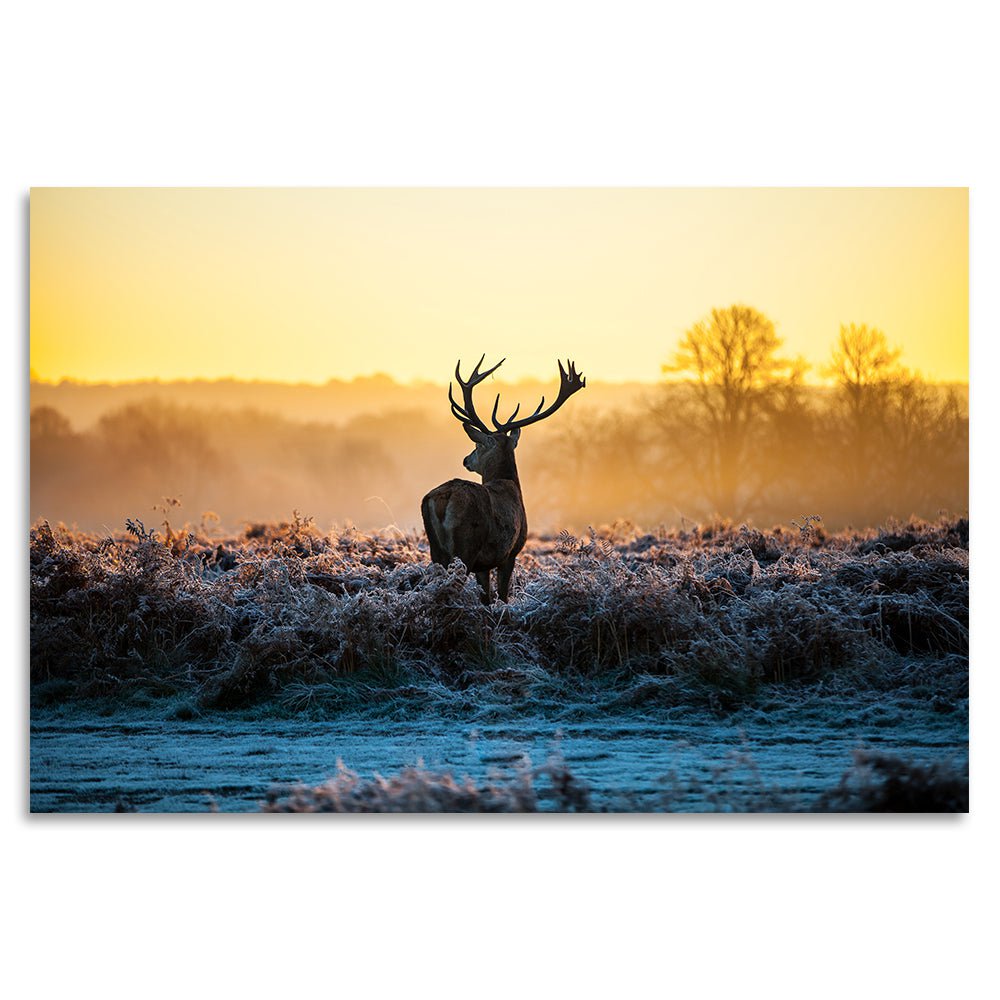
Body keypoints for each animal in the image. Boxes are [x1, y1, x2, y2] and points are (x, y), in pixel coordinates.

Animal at [421, 356, 586, 603]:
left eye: (477, 445)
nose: (466, 459)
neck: (510, 484)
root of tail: (443, 497)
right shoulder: (510, 552)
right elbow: (503, 596)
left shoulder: (484, 564)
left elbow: (487, 598)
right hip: (466, 546)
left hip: (436, 550)